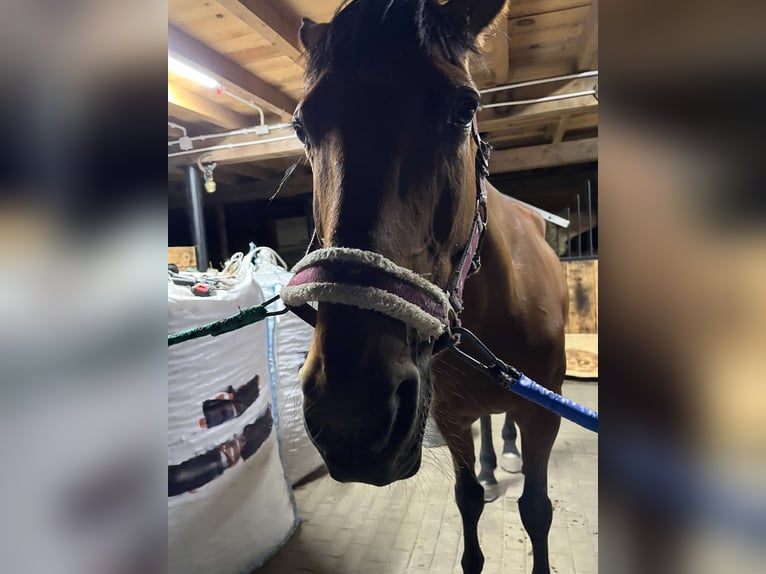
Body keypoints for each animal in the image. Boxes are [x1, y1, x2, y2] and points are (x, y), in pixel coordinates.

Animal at [288, 2, 568, 572]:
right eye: (302, 126)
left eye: (465, 108)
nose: (350, 415)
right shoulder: (451, 416)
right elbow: (468, 501)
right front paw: (480, 481)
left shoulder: (543, 415)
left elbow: (536, 509)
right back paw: (491, 463)